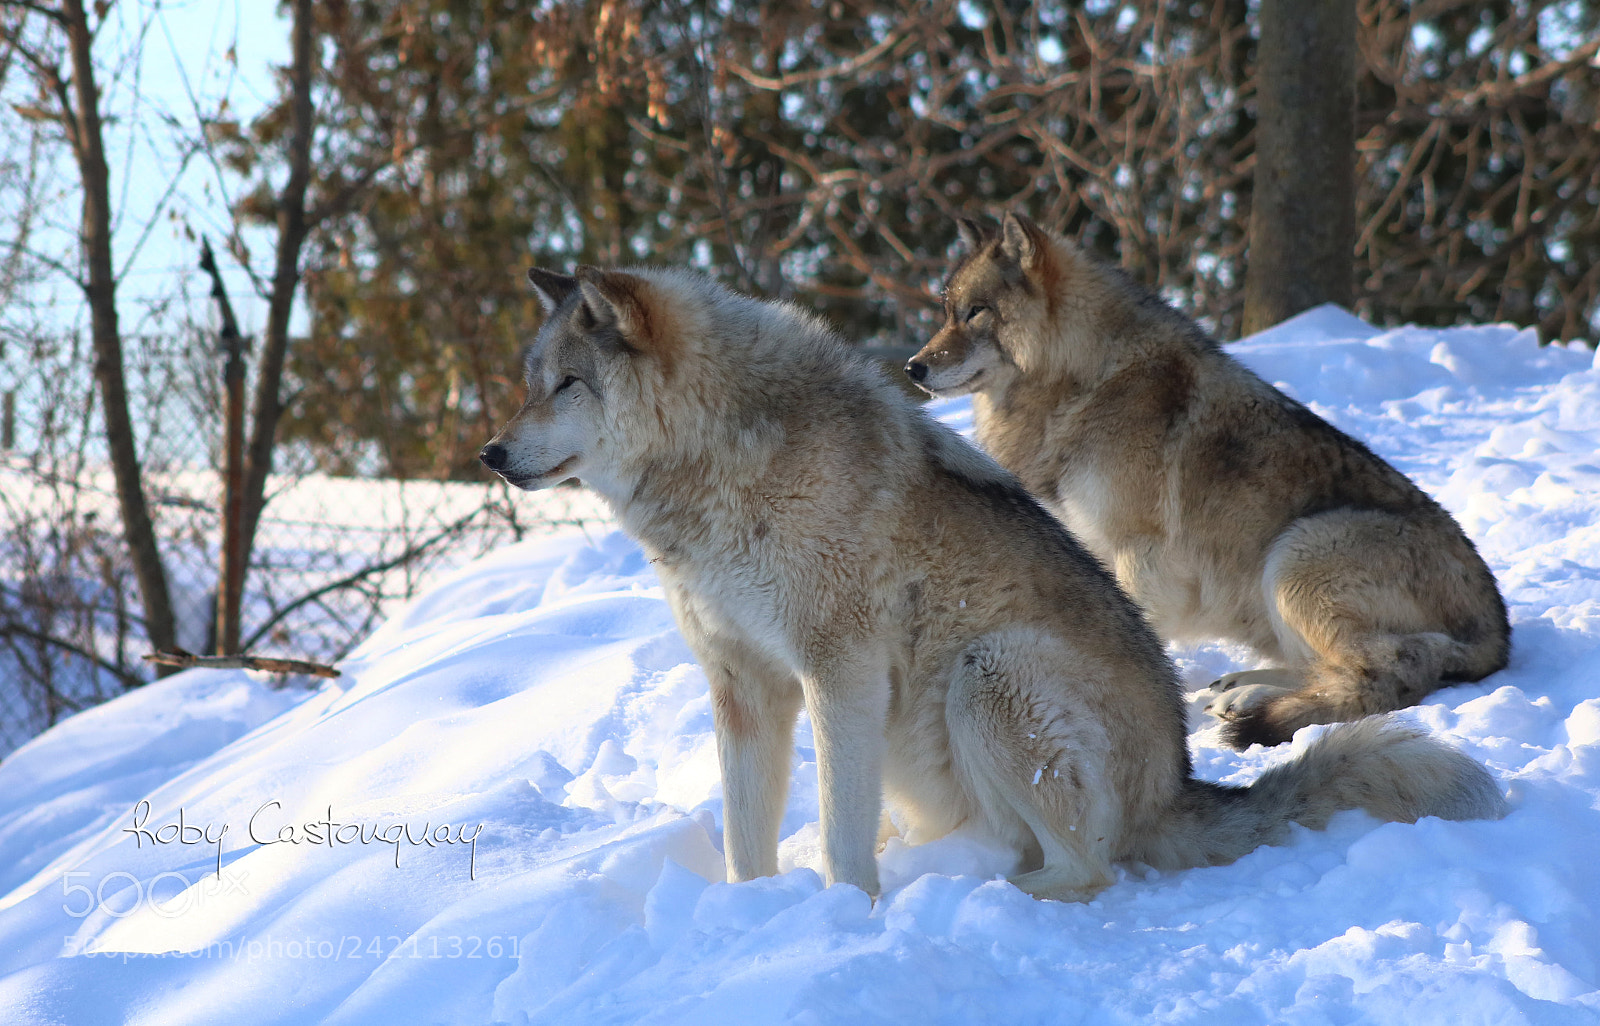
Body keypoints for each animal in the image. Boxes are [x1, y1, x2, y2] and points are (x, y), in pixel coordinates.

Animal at [480, 263, 1505, 901]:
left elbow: (839, 835)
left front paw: (842, 915)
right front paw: (749, 913)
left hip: (991, 668)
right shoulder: (742, 688)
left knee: (1087, 869)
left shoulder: (838, 677)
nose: (490, 453)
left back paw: (984, 889)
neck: (720, 464)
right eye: (530, 380)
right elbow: (745, 837)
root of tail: (1178, 783)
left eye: (568, 383)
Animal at [907, 213, 1511, 749]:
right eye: (946, 312)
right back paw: (1239, 689)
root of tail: (1499, 633)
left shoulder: (1139, 553)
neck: (1083, 381)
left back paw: (1252, 704)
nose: (913, 367)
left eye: (976, 312)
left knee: (1386, 673)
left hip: (1295, 558)